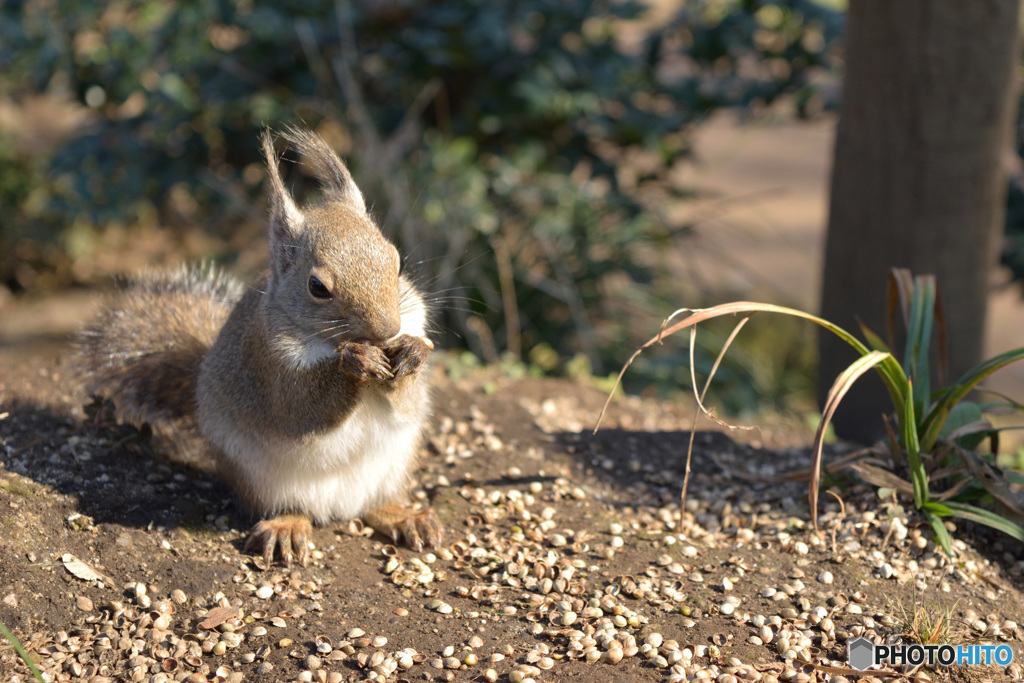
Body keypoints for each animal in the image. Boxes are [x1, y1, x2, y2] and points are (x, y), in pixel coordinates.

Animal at [71, 127, 440, 565]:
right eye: (317, 287)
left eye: (397, 262)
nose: (387, 330)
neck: (328, 341)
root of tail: (338, 508)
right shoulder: (269, 361)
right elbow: (301, 406)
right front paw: (356, 361)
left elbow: (406, 401)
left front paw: (412, 352)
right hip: (263, 481)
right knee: (293, 508)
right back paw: (286, 528)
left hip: (391, 468)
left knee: (374, 506)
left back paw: (405, 516)